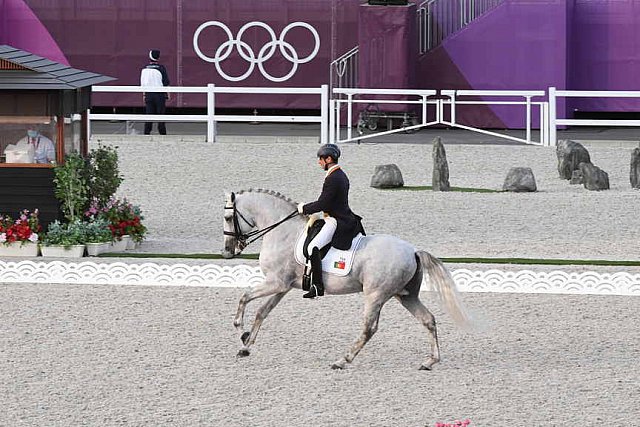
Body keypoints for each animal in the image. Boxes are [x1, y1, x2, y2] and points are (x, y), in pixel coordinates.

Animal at [222, 189, 472, 370]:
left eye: (227, 218)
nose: (227, 252)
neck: (283, 232)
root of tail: (413, 251)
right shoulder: (283, 286)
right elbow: (262, 312)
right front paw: (246, 346)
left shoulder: (276, 282)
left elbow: (245, 297)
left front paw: (239, 328)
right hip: (406, 296)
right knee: (428, 319)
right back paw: (430, 361)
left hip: (375, 295)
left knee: (369, 329)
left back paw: (342, 361)